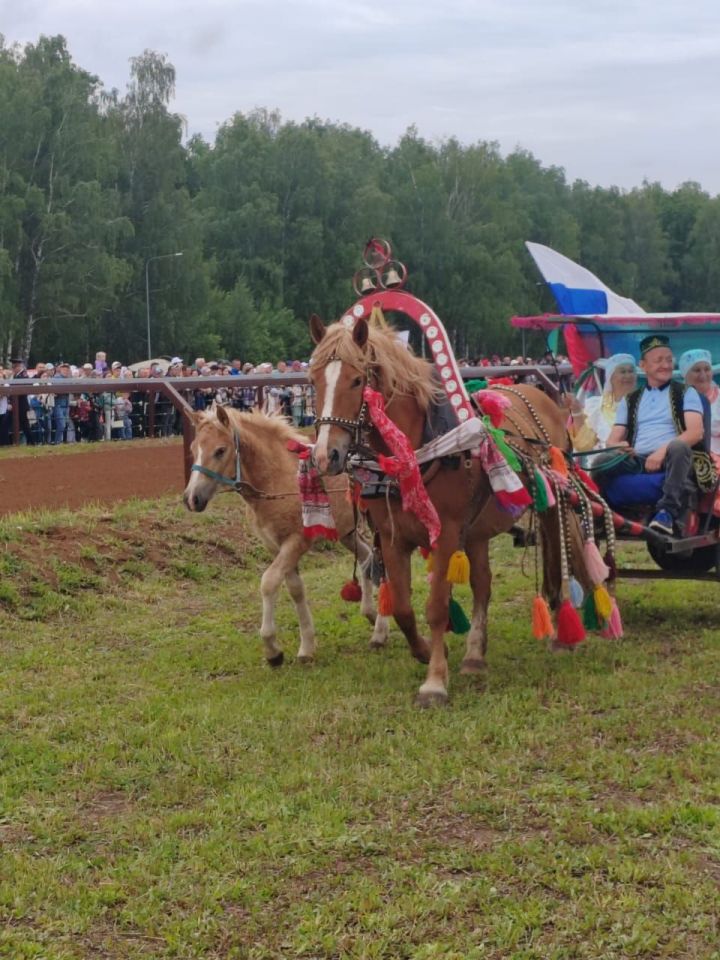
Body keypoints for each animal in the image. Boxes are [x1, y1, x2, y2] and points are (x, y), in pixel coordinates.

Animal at [183, 406, 390, 668]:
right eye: (193, 449)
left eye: (220, 450)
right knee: (366, 559)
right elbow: (295, 590)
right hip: (347, 532)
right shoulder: (276, 546)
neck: (278, 480)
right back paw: (370, 614)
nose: (191, 499)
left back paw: (380, 632)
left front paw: (273, 650)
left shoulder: (296, 542)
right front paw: (307, 647)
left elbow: (269, 582)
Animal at [310, 316, 592, 704]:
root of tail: (543, 396)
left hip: (551, 504)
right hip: (476, 532)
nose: (326, 455)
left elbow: (436, 608)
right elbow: (403, 607)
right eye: (313, 380)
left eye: (356, 380)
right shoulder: (393, 538)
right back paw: (474, 655)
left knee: (554, 556)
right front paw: (427, 650)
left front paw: (434, 682)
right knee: (482, 584)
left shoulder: (444, 536)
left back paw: (560, 630)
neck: (413, 456)